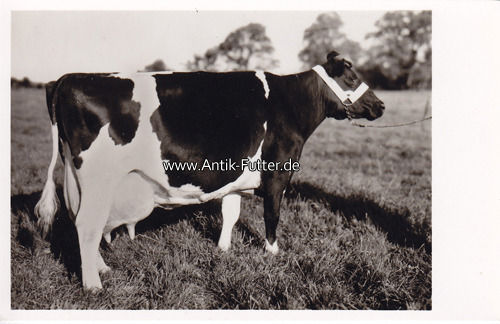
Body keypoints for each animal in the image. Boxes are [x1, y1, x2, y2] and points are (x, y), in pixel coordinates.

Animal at [35, 52, 384, 290]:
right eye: (351, 78)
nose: (380, 105)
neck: (289, 103)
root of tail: (65, 79)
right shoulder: (278, 172)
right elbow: (272, 215)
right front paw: (273, 253)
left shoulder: (235, 178)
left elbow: (230, 214)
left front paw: (224, 249)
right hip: (98, 178)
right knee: (88, 225)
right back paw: (94, 285)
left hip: (80, 180)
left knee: (81, 220)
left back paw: (102, 270)